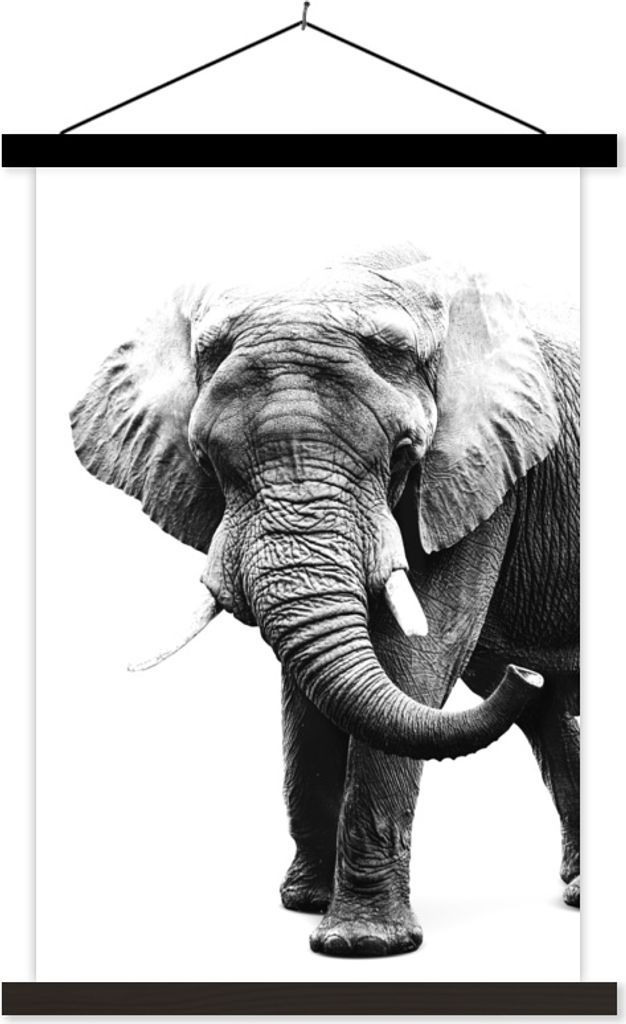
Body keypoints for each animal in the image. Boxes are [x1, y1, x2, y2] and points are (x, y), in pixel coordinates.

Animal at [70, 243, 579, 958]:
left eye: (405, 452)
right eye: (206, 459)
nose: (519, 673)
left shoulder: (480, 469)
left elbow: (420, 655)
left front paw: (360, 946)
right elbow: (309, 687)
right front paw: (305, 905)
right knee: (551, 711)